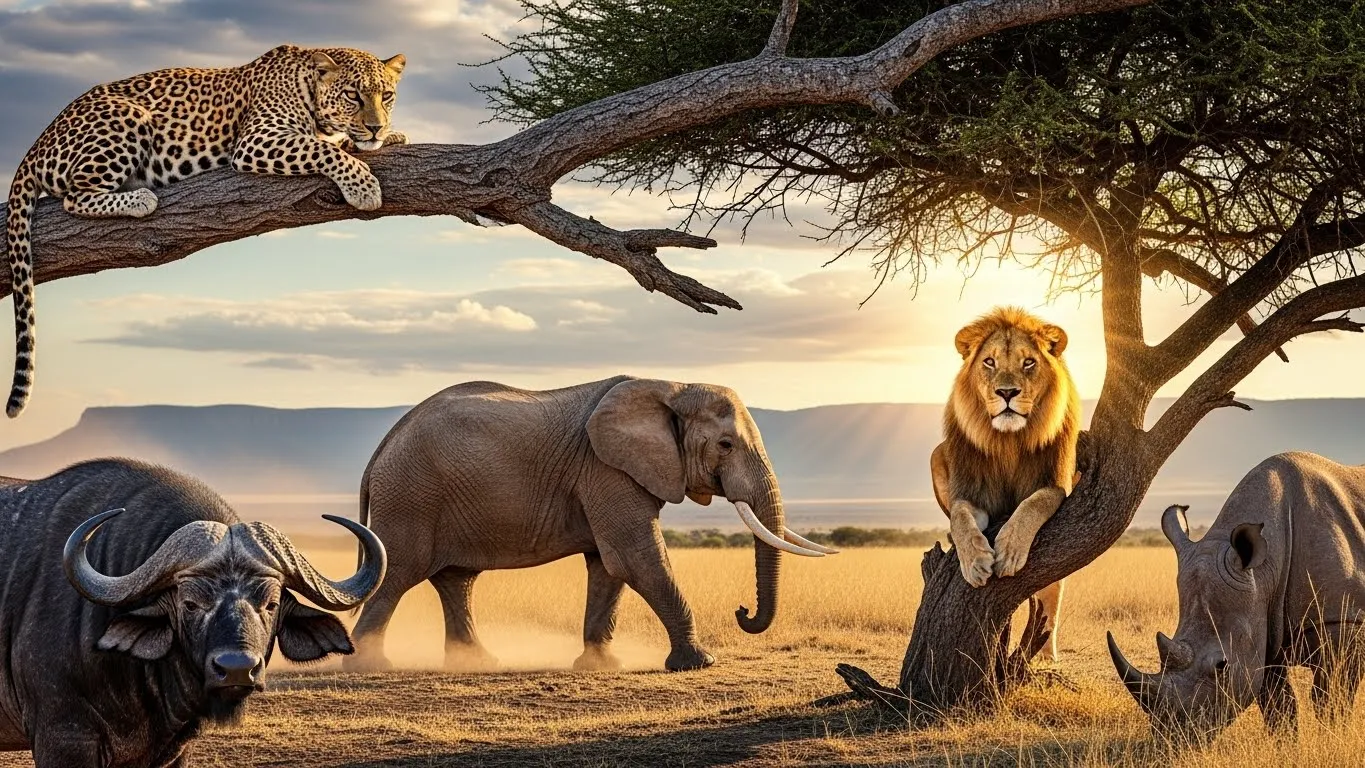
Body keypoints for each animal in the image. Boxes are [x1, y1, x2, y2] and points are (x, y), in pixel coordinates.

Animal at [345, 375, 835, 673]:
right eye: (726, 445)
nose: (741, 611)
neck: (669, 386)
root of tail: (381, 448)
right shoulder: (605, 470)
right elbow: (635, 558)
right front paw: (700, 663)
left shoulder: (608, 475)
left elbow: (608, 567)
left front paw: (600, 667)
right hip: (410, 496)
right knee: (399, 571)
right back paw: (369, 667)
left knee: (455, 580)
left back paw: (478, 664)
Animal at [929, 306, 1081, 662]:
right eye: (989, 362)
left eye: (1028, 362)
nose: (1007, 393)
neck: (1008, 441)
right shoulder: (972, 492)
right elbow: (960, 518)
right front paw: (975, 562)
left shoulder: (1057, 483)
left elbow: (1032, 505)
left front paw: (1010, 551)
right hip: (936, 454)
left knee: (1053, 587)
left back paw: (1045, 653)